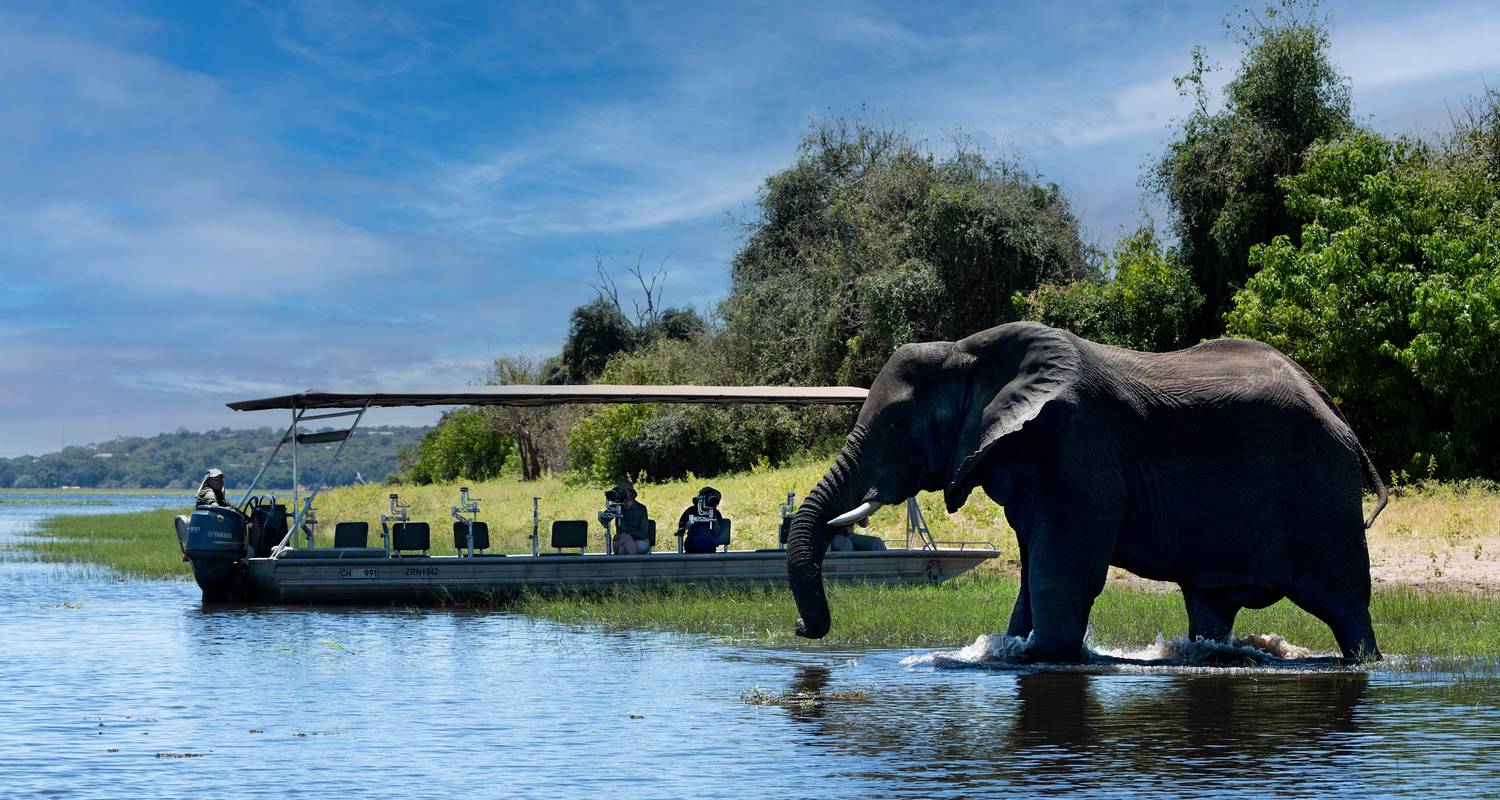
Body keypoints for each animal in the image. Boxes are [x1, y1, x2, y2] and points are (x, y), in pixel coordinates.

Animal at [792, 318, 1386, 660]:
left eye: (897, 425)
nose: (800, 627)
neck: (968, 351)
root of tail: (1337, 411)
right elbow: (1034, 567)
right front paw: (1008, 647)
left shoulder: (1078, 449)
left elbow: (1064, 571)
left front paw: (1039, 654)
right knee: (1210, 604)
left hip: (1320, 492)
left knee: (1347, 607)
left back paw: (1366, 662)